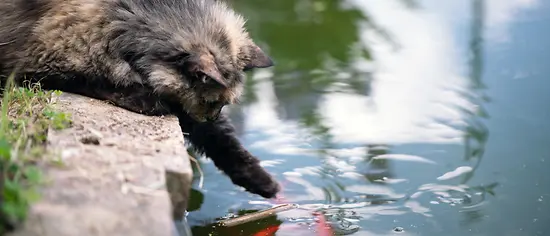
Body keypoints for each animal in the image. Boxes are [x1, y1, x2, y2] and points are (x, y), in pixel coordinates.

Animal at [0, 0, 282, 199]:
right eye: (212, 102)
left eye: (221, 105)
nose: (212, 116)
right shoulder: (37, 68)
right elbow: (99, 80)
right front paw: (144, 99)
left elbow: (224, 142)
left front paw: (261, 181)